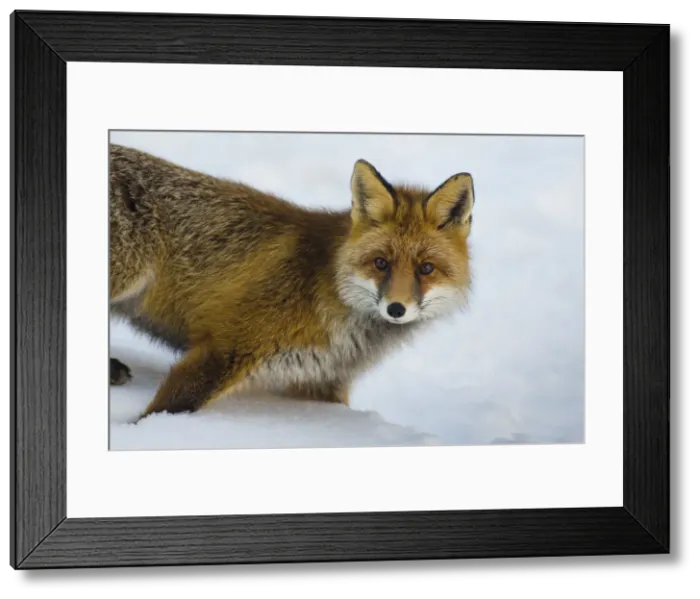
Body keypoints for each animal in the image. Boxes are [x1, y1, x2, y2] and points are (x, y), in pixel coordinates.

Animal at [109, 143, 476, 421]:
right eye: (381, 263)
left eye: (426, 268)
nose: (396, 309)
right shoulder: (227, 346)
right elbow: (166, 410)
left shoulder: (318, 381)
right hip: (126, 276)